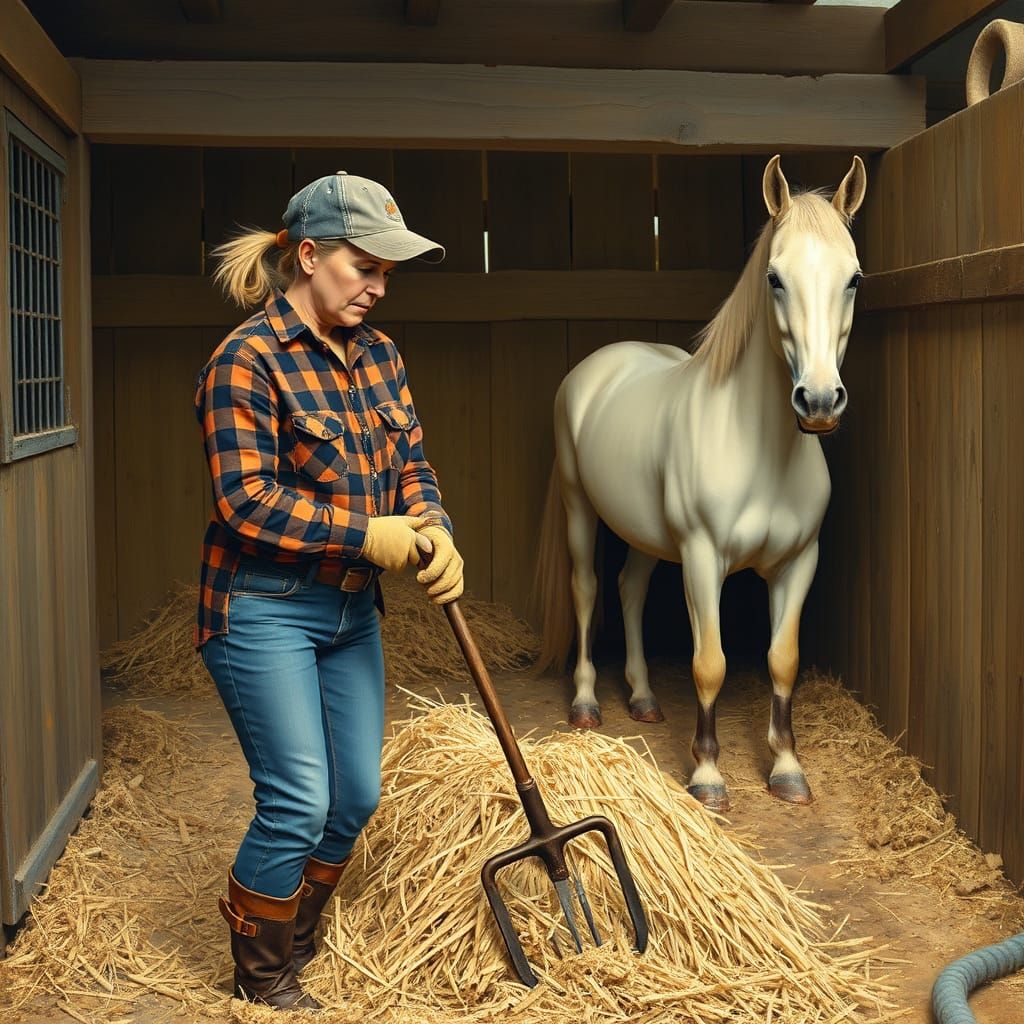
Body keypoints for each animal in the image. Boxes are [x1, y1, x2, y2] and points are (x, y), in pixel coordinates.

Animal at [531, 155, 867, 812]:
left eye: (853, 279)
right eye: (775, 278)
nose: (818, 401)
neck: (762, 450)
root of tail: (597, 366)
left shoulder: (799, 562)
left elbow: (783, 659)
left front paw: (788, 769)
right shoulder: (703, 557)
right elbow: (709, 663)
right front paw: (708, 777)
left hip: (643, 532)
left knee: (630, 590)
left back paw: (642, 698)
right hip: (582, 510)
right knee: (588, 590)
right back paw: (585, 703)